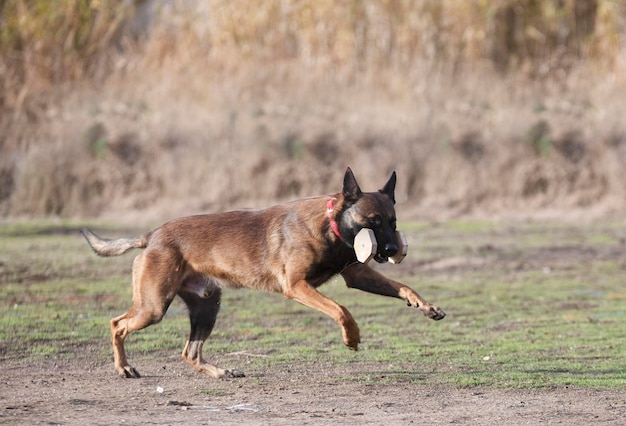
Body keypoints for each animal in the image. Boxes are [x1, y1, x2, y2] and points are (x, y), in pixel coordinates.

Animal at [81, 168, 444, 378]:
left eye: (393, 222)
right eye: (373, 221)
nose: (391, 251)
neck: (331, 227)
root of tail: (152, 234)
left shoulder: (357, 275)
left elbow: (403, 286)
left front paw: (426, 306)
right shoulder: (297, 286)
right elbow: (341, 310)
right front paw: (351, 337)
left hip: (207, 307)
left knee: (189, 351)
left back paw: (218, 372)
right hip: (154, 307)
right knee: (117, 324)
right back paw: (124, 367)